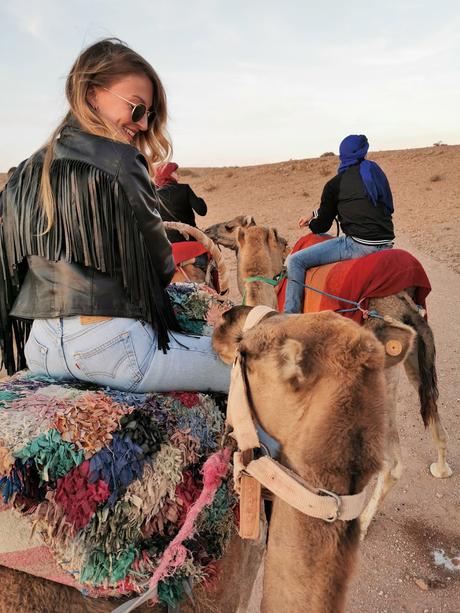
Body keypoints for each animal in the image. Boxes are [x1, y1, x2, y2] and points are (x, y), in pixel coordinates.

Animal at [205, 218, 452, 532]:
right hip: (416, 360)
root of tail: (403, 307)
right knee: (433, 415)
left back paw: (363, 523)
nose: (208, 231)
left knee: (392, 464)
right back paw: (441, 469)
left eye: (229, 226)